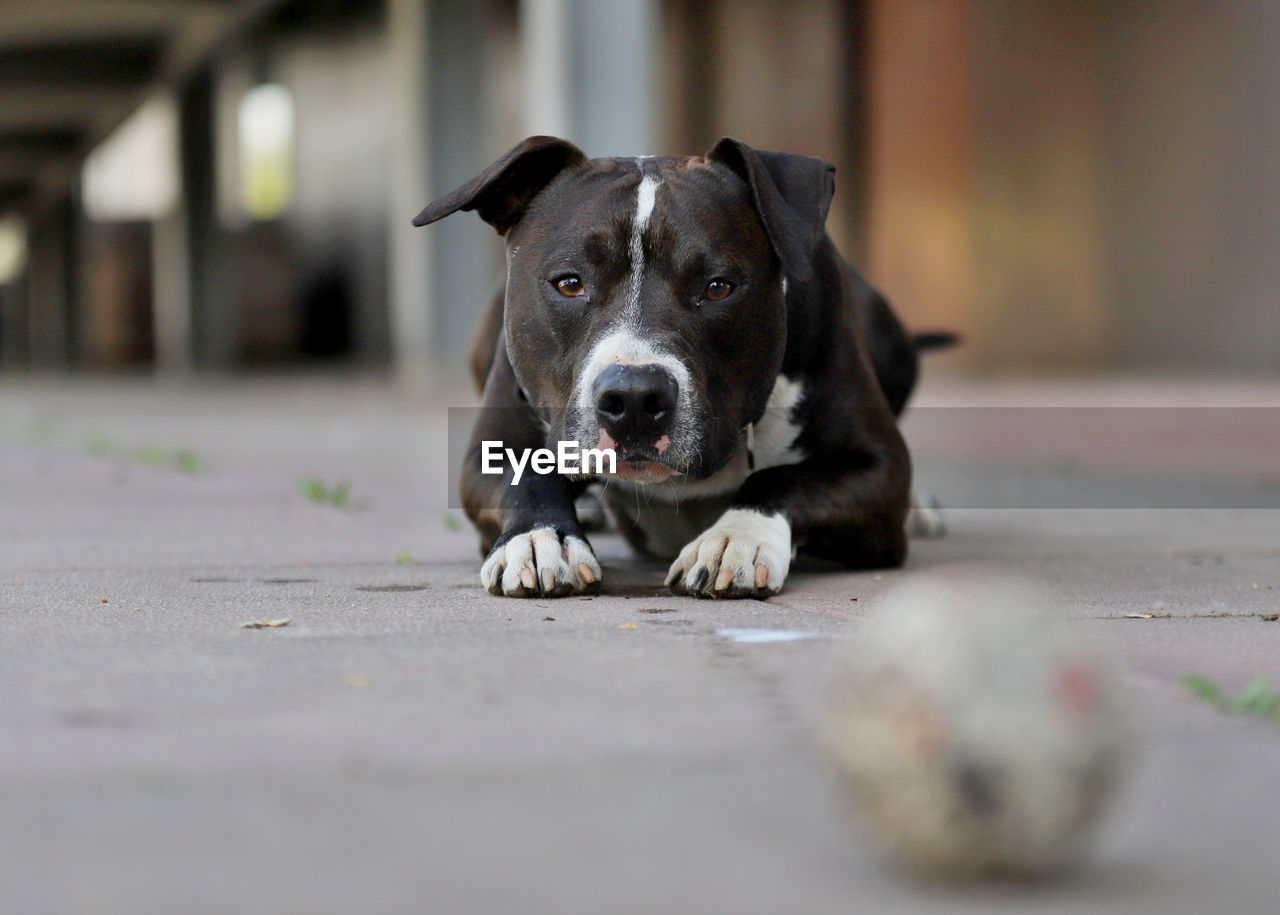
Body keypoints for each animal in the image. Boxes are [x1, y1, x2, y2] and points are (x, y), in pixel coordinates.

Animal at [412, 134, 952, 593]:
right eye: (569, 283)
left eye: (718, 287)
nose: (633, 398)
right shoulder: (491, 451)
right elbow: (527, 481)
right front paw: (539, 538)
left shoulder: (879, 468)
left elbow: (782, 477)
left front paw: (735, 538)